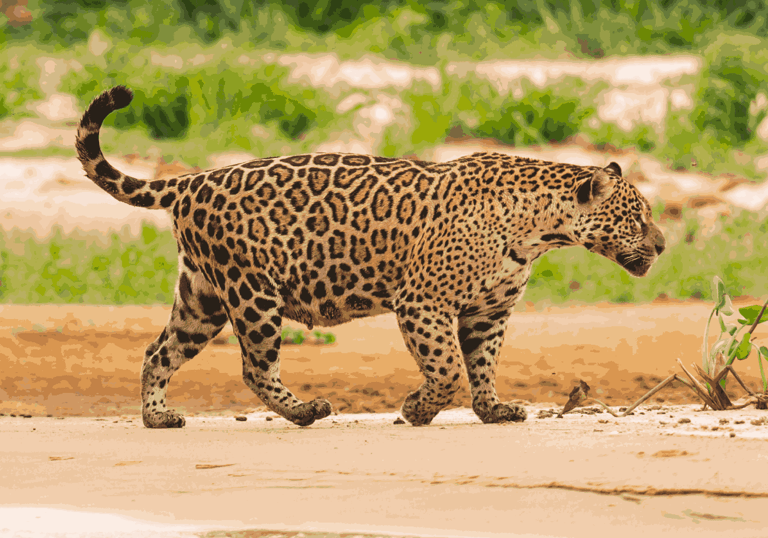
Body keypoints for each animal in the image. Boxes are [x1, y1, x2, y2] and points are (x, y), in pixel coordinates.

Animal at [75, 85, 666, 429]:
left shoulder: (489, 311)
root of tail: (192, 179)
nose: (662, 245)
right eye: (638, 217)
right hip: (251, 293)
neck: (540, 230)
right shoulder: (424, 302)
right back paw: (304, 411)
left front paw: (492, 409)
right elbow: (448, 367)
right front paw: (417, 409)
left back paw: (158, 417)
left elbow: (481, 364)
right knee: (255, 365)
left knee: (159, 351)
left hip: (202, 298)